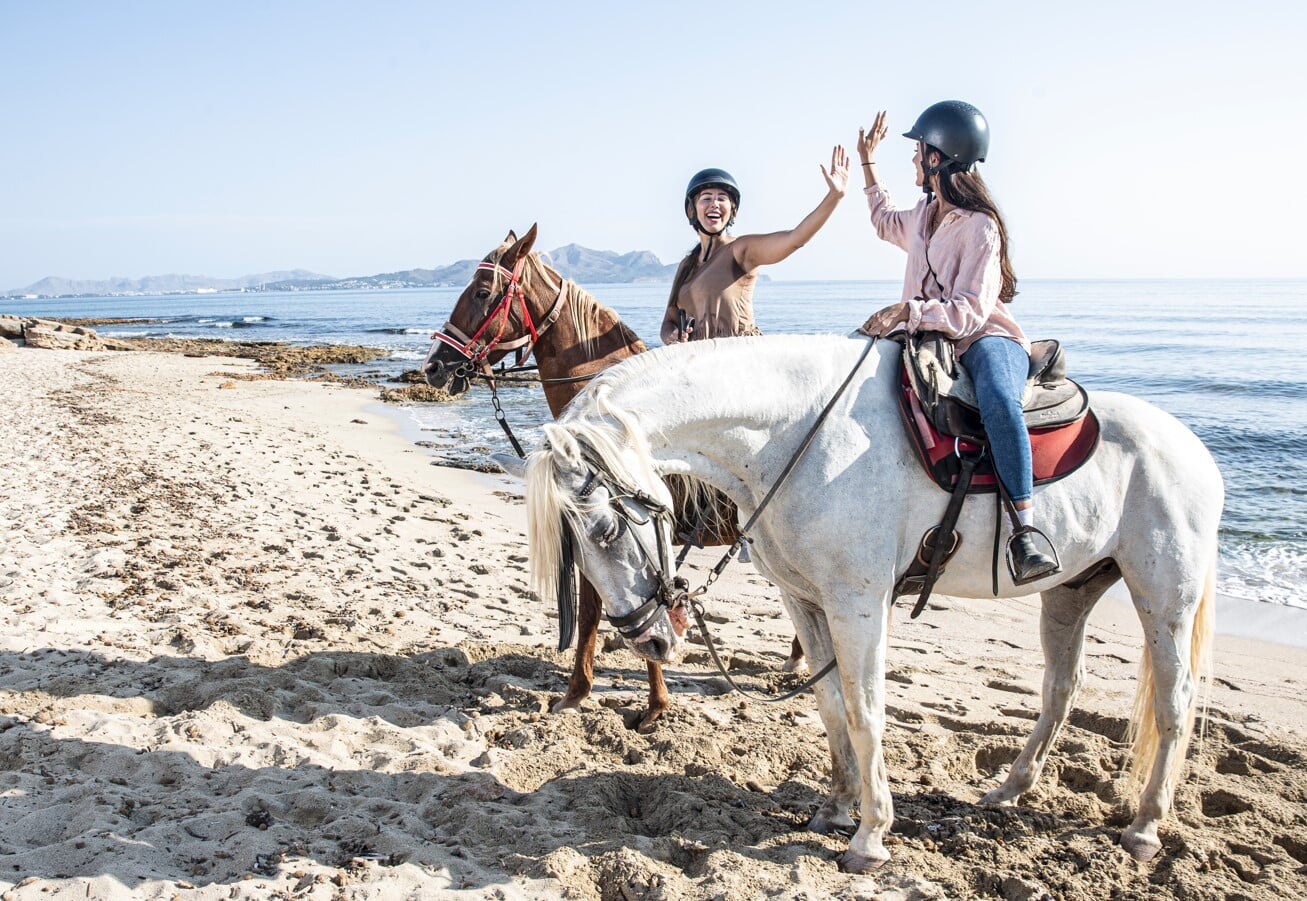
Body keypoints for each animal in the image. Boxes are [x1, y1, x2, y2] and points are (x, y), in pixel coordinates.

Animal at [422, 225, 795, 732]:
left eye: (482, 292)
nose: (434, 366)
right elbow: (603, 612)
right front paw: (580, 694)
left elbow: (604, 609)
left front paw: (647, 704)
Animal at [494, 334, 1221, 874]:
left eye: (603, 529)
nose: (648, 638)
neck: (796, 436)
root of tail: (1194, 452)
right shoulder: (804, 599)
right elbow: (830, 705)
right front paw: (836, 808)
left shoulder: (857, 603)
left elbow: (867, 710)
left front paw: (869, 836)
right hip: (1071, 592)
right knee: (1061, 687)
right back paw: (1010, 789)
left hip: (1164, 597)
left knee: (1173, 702)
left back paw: (1145, 827)